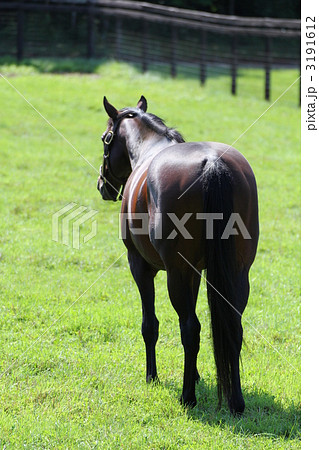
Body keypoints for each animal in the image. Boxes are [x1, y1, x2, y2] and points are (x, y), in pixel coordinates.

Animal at [97, 96, 260, 414]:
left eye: (105, 138)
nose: (102, 186)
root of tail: (213, 164)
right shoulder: (195, 272)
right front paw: (194, 374)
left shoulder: (140, 266)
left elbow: (150, 325)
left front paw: (152, 376)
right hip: (237, 273)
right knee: (232, 327)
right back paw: (236, 402)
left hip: (175, 274)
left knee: (190, 329)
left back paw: (187, 397)